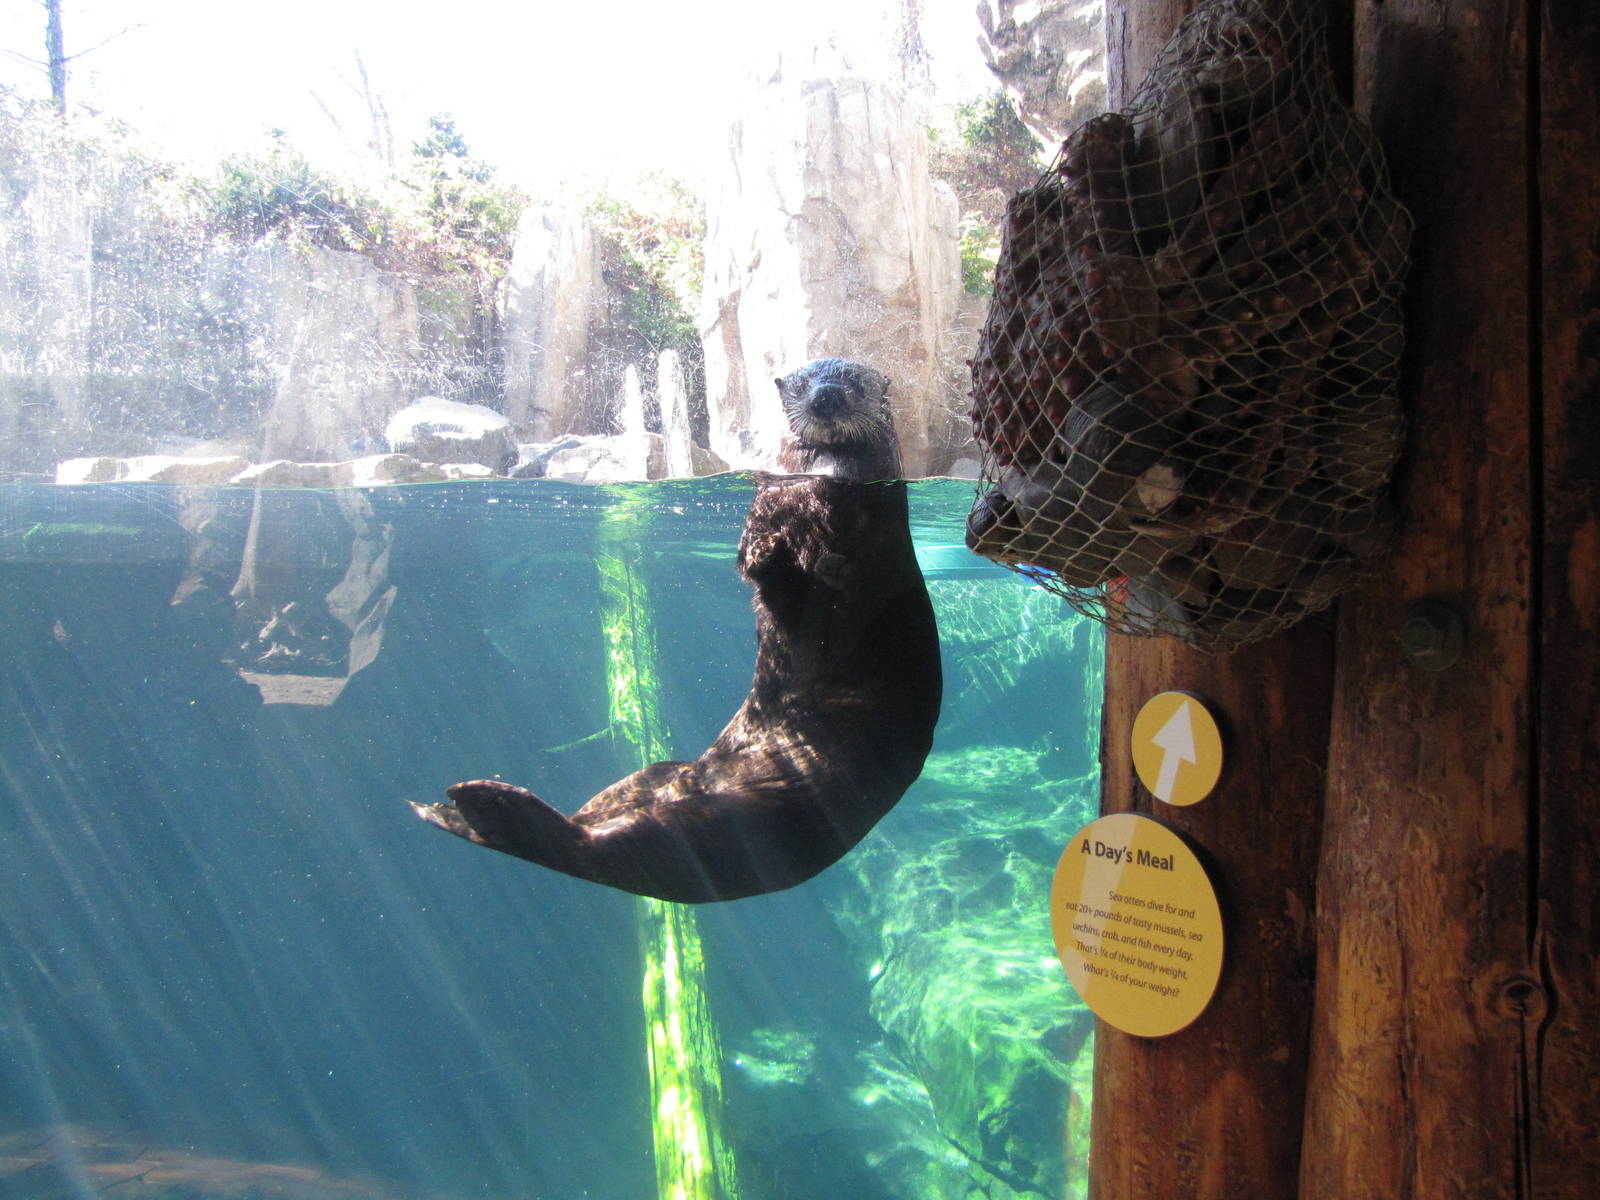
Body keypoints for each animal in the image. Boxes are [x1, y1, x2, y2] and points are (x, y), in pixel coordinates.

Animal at [412, 358, 942, 903]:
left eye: (856, 382)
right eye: (800, 384)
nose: (827, 397)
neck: (808, 493)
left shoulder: (866, 550)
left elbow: (836, 586)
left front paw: (800, 563)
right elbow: (760, 569)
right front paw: (761, 550)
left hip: (749, 808)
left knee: (590, 840)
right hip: (661, 776)